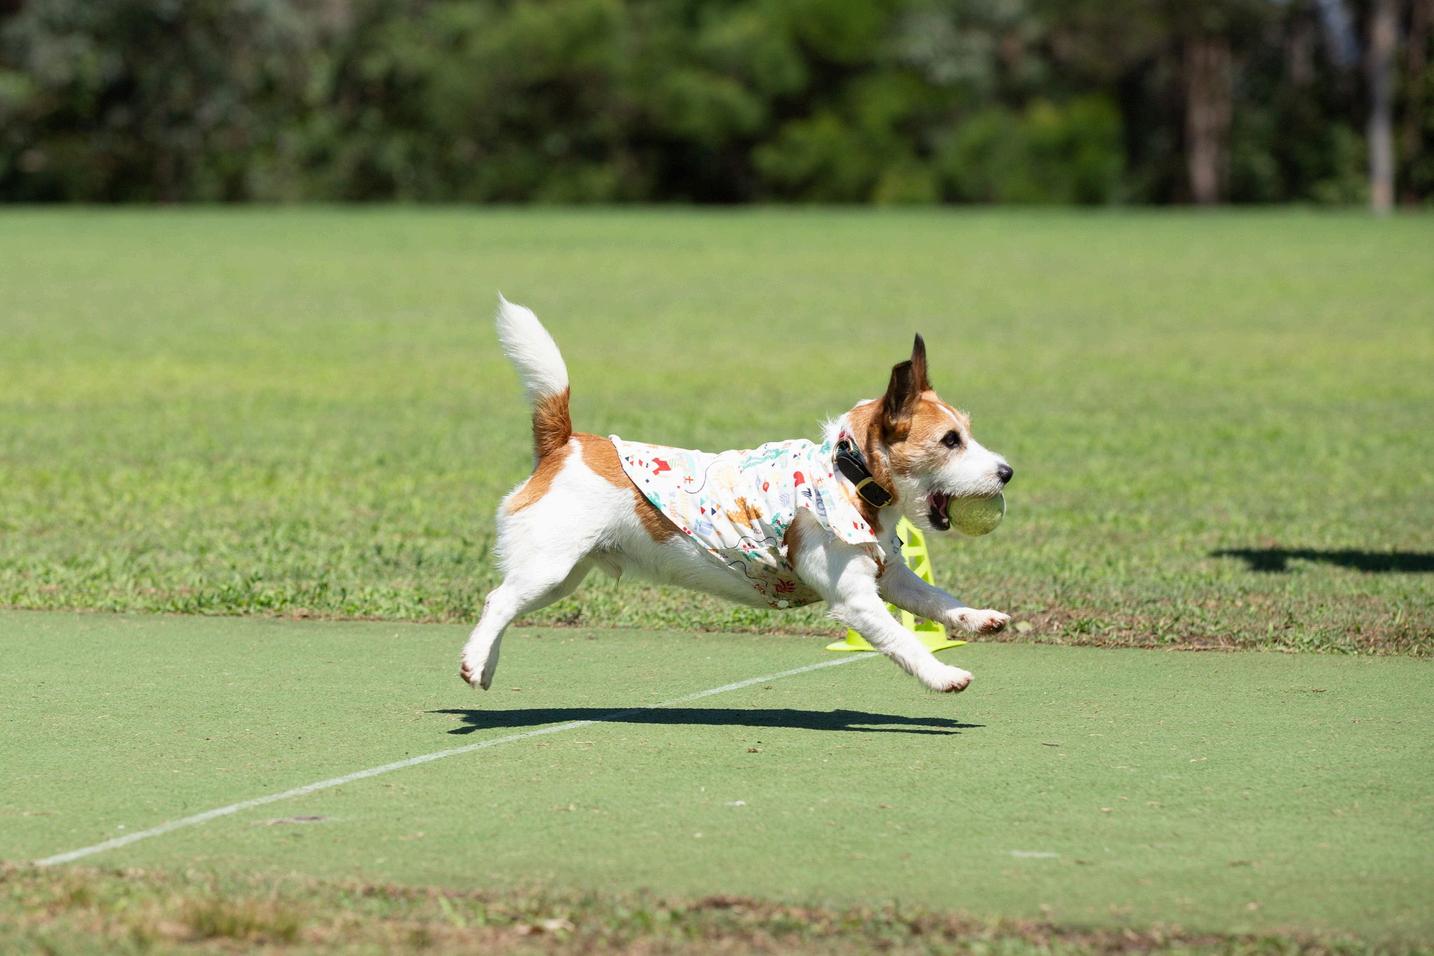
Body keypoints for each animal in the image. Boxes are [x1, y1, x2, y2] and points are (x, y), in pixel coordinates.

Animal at [459, 297, 1013, 694]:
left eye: (967, 432)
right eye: (950, 441)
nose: (1007, 473)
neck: (846, 473)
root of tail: (565, 442)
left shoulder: (890, 575)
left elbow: (936, 599)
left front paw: (975, 618)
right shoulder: (855, 601)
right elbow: (903, 639)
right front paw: (943, 675)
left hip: (562, 576)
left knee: (505, 604)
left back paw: (486, 666)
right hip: (548, 567)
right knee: (497, 600)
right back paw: (474, 660)